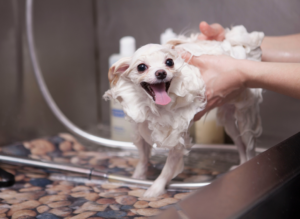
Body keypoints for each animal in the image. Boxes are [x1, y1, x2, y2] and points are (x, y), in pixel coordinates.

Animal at [104, 25, 264, 197]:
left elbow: (167, 170)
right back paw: (241, 164)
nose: (161, 72)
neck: (154, 107)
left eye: (169, 62)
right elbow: (142, 158)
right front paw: (137, 177)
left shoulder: (176, 140)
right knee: (240, 145)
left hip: (244, 117)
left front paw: (155, 190)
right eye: (141, 67)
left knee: (249, 146)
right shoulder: (141, 130)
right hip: (229, 123)